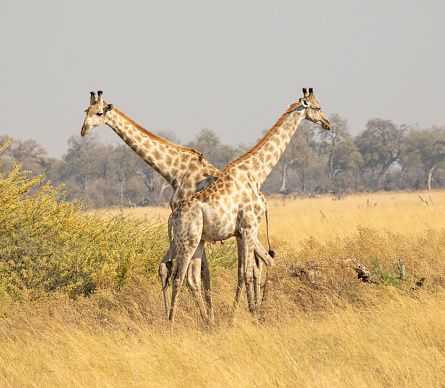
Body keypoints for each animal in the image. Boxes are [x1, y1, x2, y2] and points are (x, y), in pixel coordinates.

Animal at [80, 91, 274, 318]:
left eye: (99, 113)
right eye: (86, 111)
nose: (83, 130)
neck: (174, 171)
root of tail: (262, 198)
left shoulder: (192, 228)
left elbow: (199, 273)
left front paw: (208, 316)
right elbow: (172, 268)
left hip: (243, 230)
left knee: (261, 262)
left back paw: (255, 310)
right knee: (260, 263)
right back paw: (256, 310)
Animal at [166, 89, 330, 322]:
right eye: (317, 107)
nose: (327, 124)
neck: (255, 173)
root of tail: (173, 216)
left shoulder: (242, 232)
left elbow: (245, 272)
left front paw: (244, 314)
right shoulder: (250, 228)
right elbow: (246, 273)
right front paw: (238, 317)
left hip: (198, 241)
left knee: (192, 278)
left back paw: (207, 321)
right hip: (186, 241)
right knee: (178, 278)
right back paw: (170, 323)